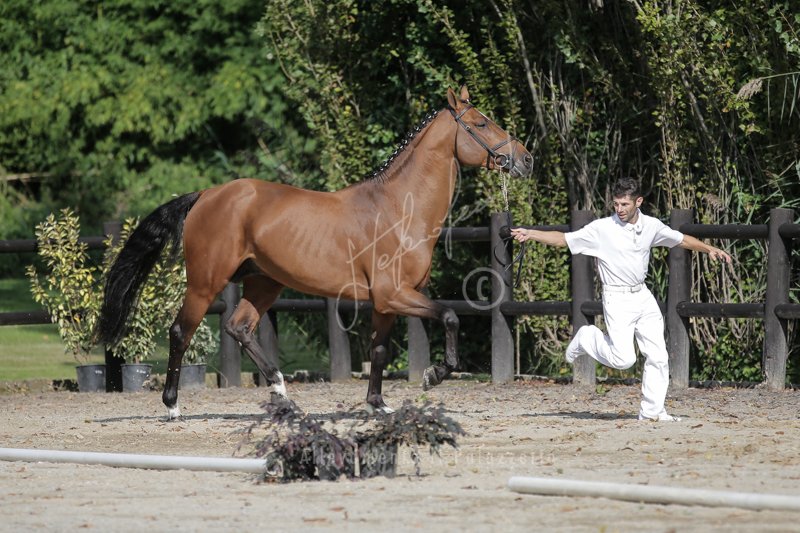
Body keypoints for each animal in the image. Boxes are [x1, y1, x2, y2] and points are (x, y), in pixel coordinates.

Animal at [96, 85, 533, 419]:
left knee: (239, 327)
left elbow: (378, 350)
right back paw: (173, 406)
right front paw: (433, 375)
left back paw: (282, 394)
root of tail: (206, 195)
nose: (526, 159)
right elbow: (450, 317)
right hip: (205, 284)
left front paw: (377, 404)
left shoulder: (386, 302)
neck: (398, 208)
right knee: (180, 332)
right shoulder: (395, 294)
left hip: (264, 282)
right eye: (481, 123)